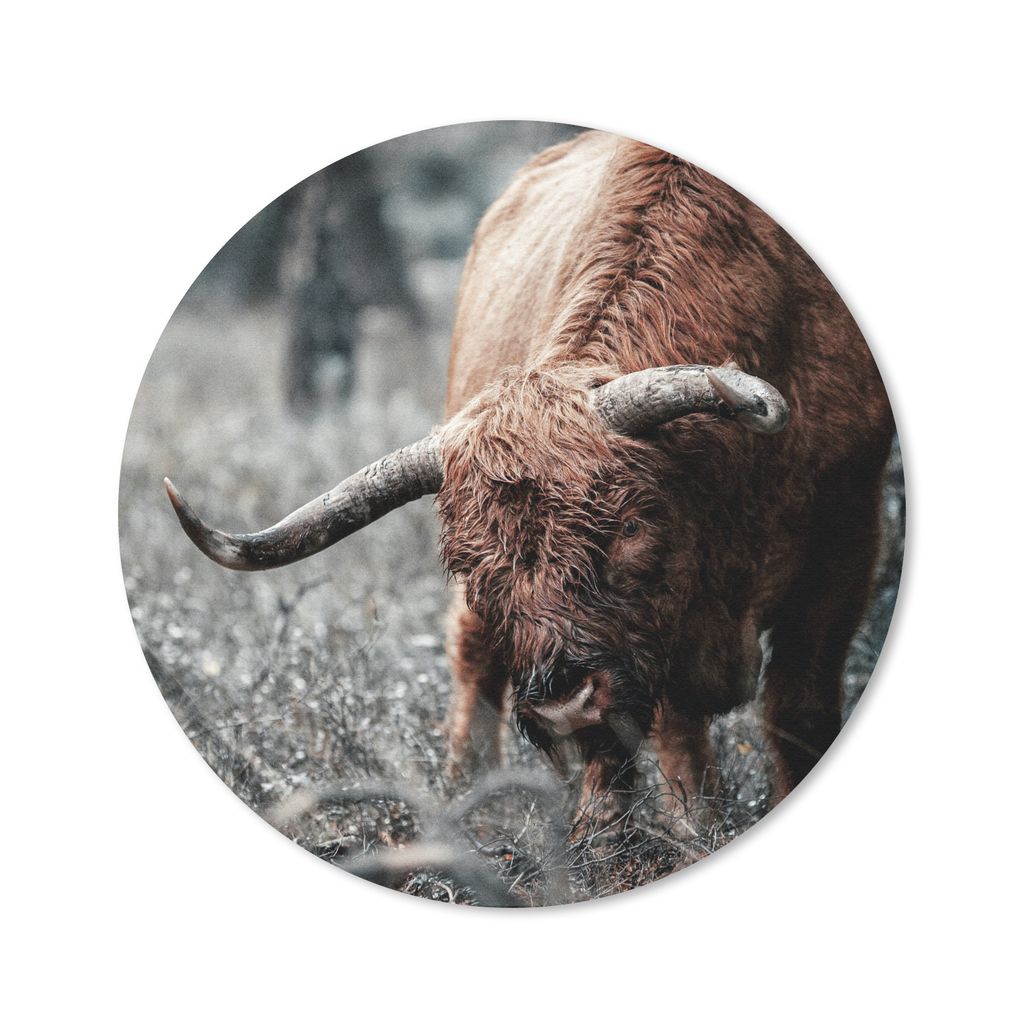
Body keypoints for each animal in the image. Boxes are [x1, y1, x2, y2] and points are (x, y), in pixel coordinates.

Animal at [165, 130, 895, 840]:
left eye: (631, 528)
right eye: (473, 567)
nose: (565, 709)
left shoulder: (845, 538)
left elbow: (797, 713)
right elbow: (663, 747)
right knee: (473, 664)